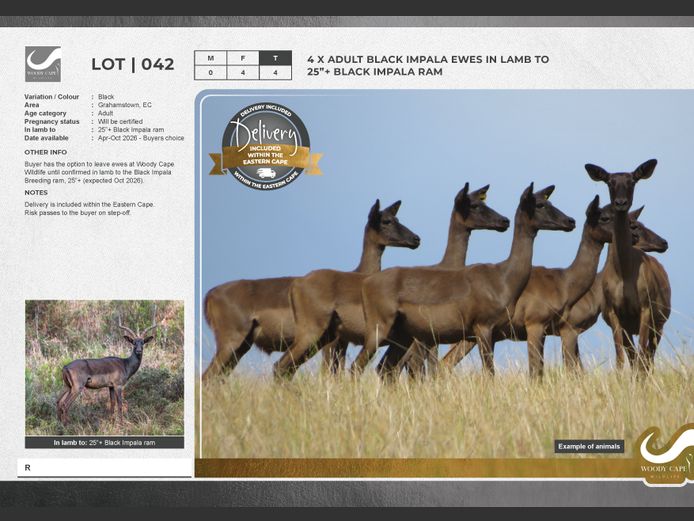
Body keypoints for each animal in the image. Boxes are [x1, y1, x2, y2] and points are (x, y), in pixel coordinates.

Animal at [204, 199, 420, 381]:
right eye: (386, 220)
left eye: (397, 218)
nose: (416, 239)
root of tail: (211, 294)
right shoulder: (336, 344)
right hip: (234, 344)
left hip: (242, 348)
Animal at [586, 159, 671, 371]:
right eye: (609, 181)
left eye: (633, 180)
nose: (621, 203)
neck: (624, 274)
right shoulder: (614, 314)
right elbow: (620, 359)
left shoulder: (646, 309)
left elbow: (642, 357)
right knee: (636, 356)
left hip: (660, 322)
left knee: (648, 356)